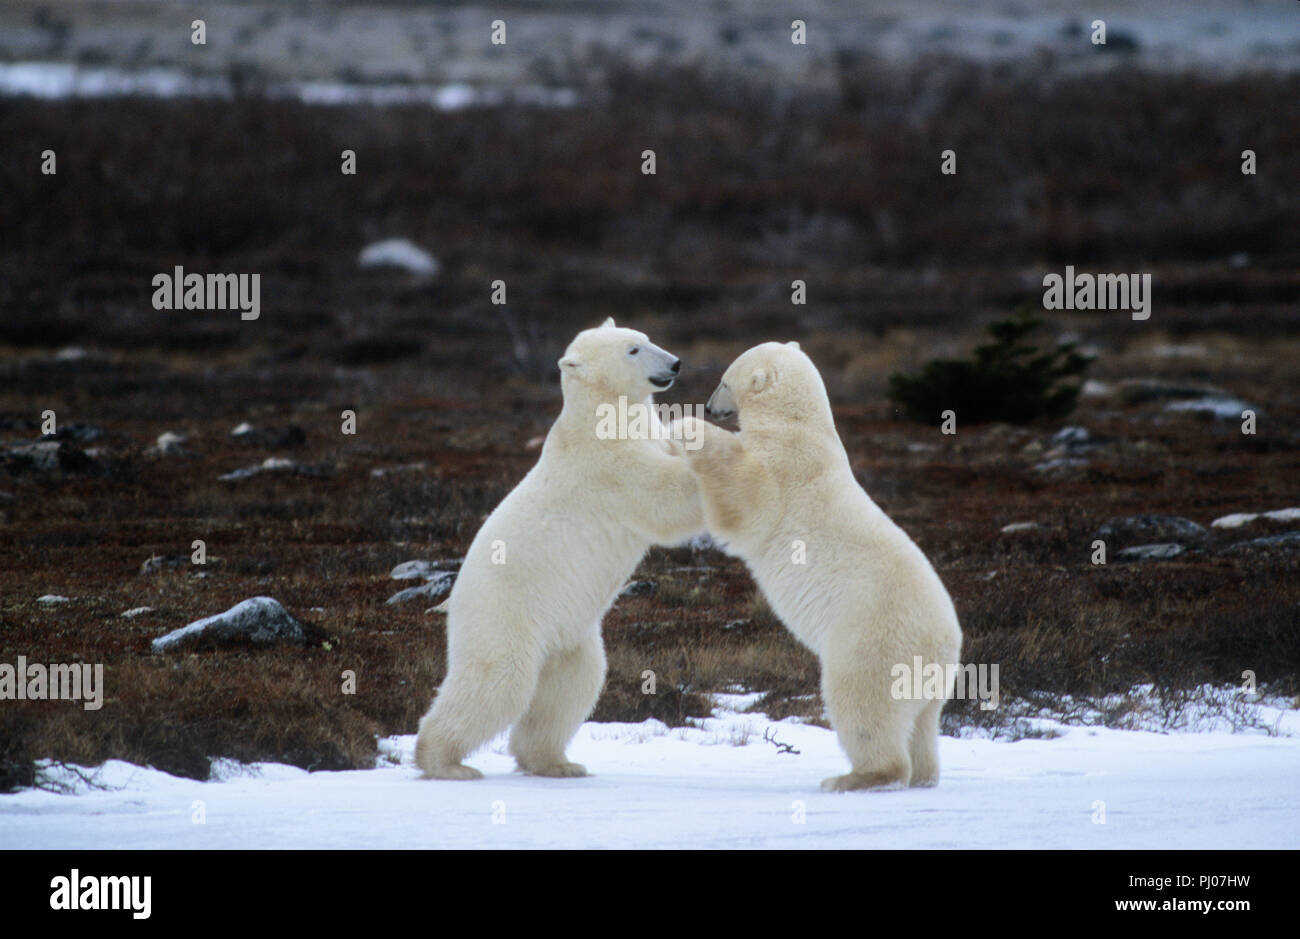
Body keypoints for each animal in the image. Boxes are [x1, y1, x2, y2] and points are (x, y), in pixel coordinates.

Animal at [413, 318, 702, 780]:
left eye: (644, 339)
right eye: (633, 349)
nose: (675, 364)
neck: (597, 417)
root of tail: (453, 601)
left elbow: (669, 446)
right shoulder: (609, 467)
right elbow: (665, 498)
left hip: (570, 635)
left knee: (571, 687)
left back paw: (556, 762)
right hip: (504, 619)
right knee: (497, 685)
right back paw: (446, 763)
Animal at [686, 340, 961, 785]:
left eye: (724, 380)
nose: (710, 408)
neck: (799, 426)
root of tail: (945, 646)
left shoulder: (785, 469)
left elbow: (747, 500)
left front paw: (684, 428)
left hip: (872, 641)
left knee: (862, 704)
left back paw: (856, 777)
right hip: (928, 682)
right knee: (922, 724)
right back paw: (922, 773)